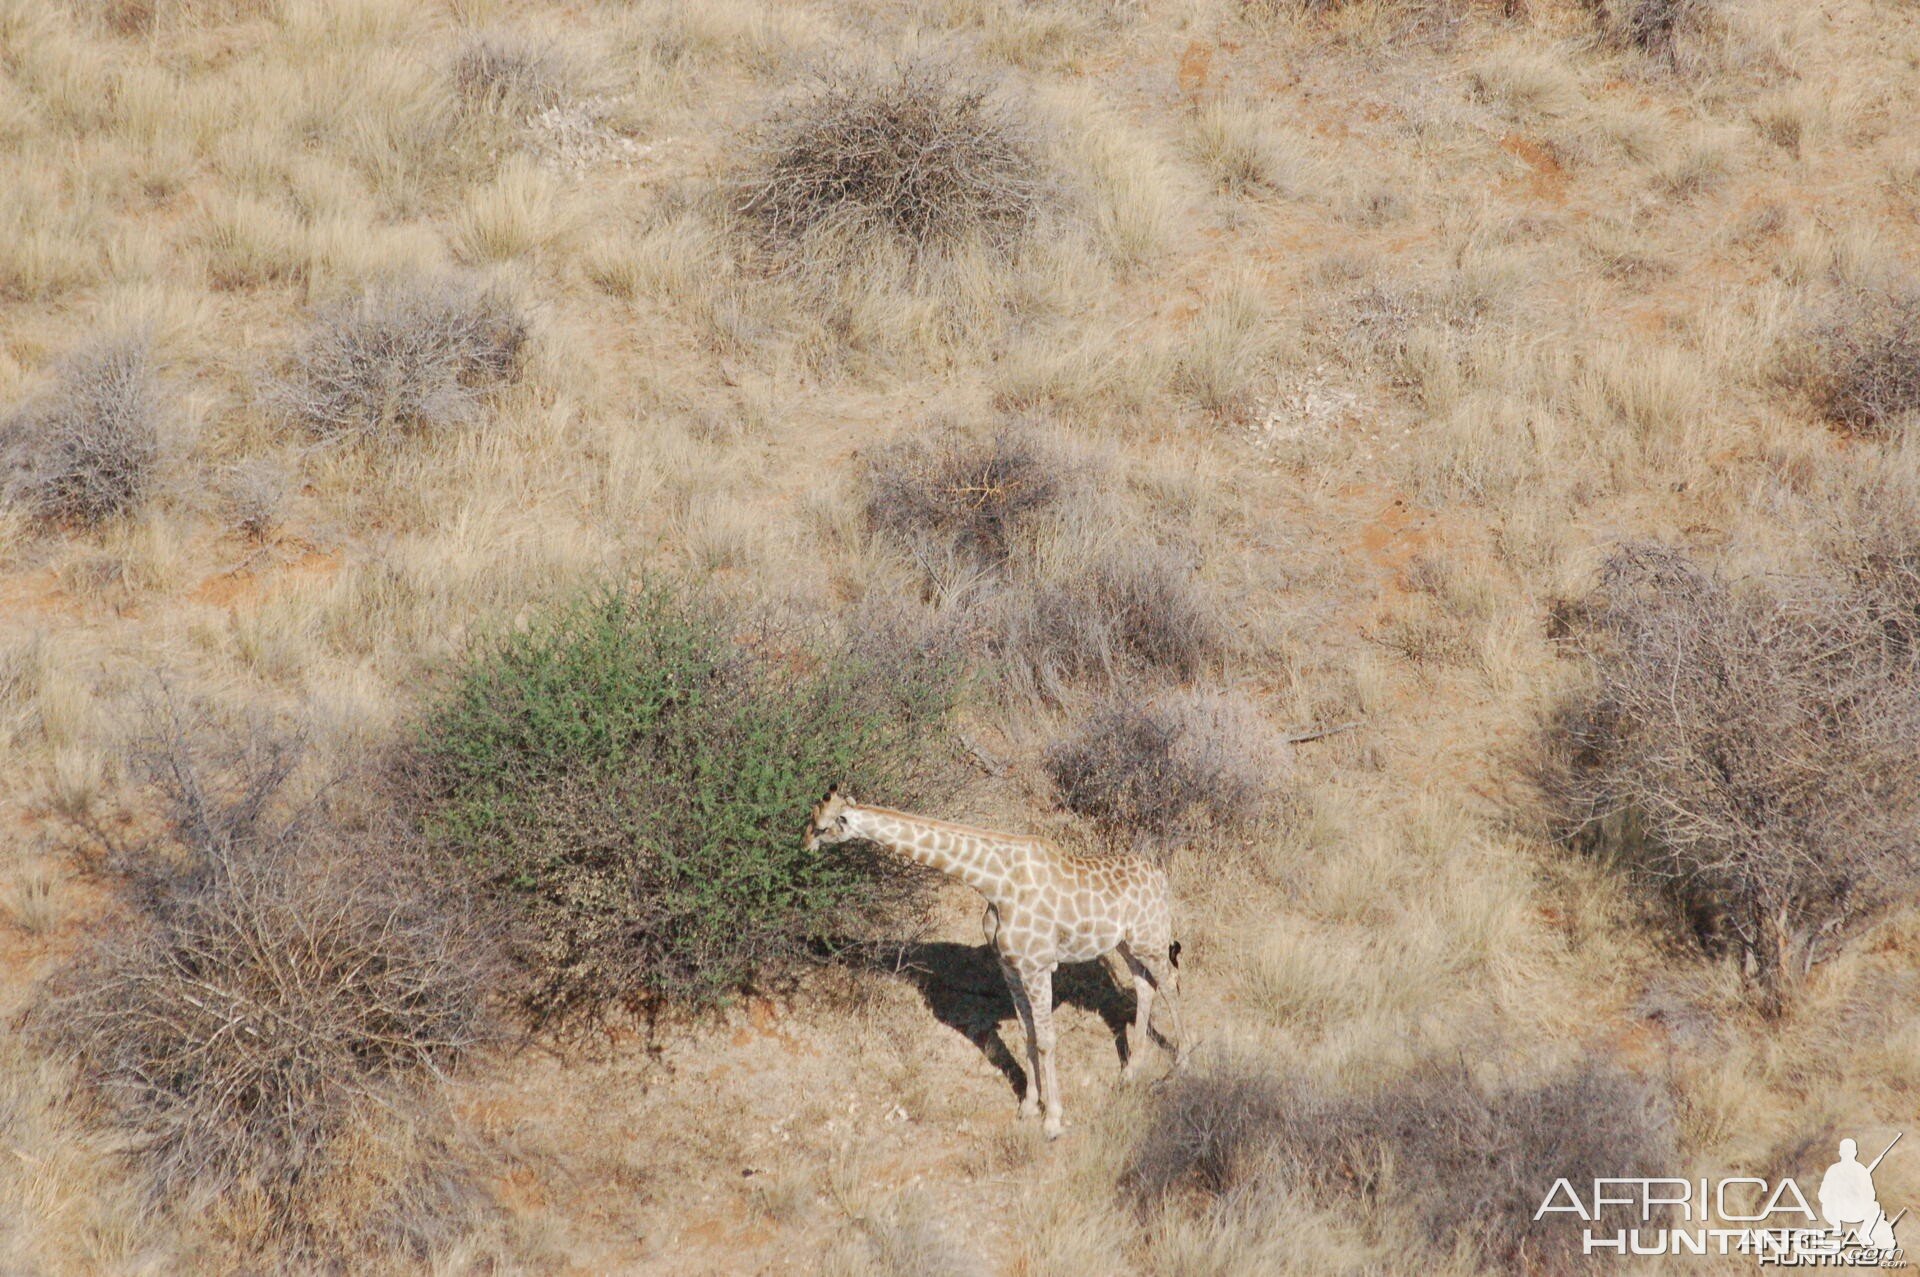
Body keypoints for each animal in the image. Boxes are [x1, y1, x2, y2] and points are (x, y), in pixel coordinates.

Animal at [798, 787, 1182, 1136]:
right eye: (812, 821)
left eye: (821, 826)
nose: (803, 848)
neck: (993, 883)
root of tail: (1162, 878)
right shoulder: (1010, 967)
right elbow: (1027, 1033)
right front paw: (1029, 1107)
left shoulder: (1037, 967)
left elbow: (1046, 1039)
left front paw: (1053, 1120)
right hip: (1129, 944)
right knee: (1144, 988)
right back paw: (1130, 1072)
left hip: (1151, 939)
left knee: (1171, 985)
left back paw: (1180, 1064)